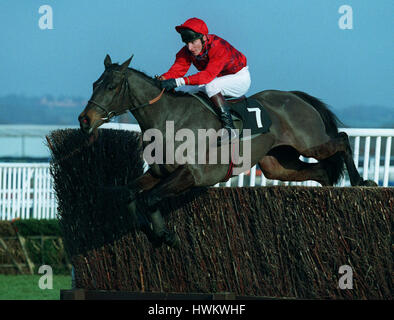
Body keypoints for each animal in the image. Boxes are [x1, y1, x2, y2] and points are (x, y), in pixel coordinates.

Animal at [78, 55, 378, 249]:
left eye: (111, 86)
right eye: (94, 84)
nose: (84, 119)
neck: (170, 119)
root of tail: (295, 96)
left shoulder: (194, 174)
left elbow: (150, 198)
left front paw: (166, 235)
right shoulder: (158, 172)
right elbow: (130, 194)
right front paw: (147, 229)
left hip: (310, 142)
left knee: (342, 139)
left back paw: (361, 181)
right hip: (277, 164)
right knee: (320, 171)